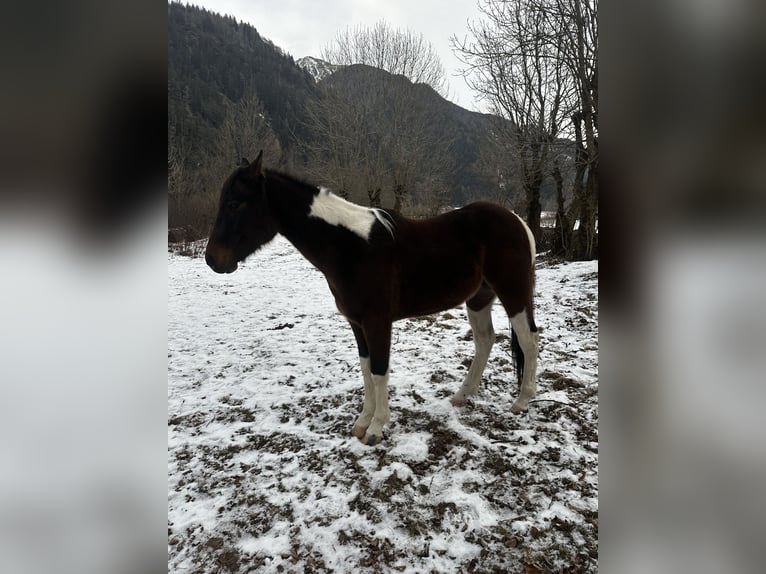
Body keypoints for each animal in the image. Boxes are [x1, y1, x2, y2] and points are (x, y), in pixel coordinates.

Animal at [204, 152, 540, 446]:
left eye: (235, 203)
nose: (213, 260)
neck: (353, 248)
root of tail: (517, 221)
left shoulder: (378, 322)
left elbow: (379, 370)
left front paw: (377, 428)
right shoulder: (357, 323)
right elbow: (366, 370)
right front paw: (362, 422)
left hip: (513, 293)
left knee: (528, 339)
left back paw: (522, 401)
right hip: (479, 298)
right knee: (485, 340)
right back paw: (462, 395)